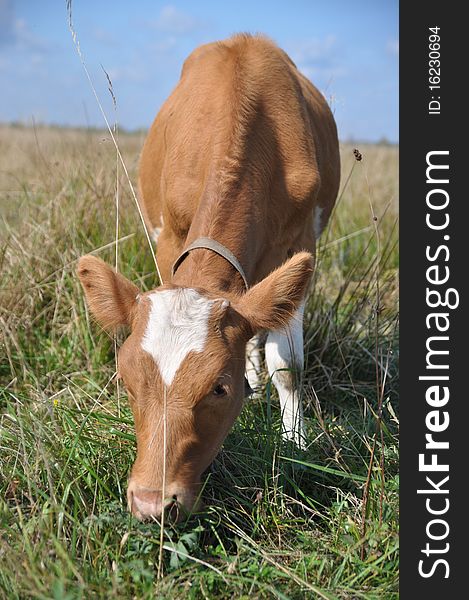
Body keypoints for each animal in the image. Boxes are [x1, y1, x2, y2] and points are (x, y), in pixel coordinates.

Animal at [77, 34, 340, 520]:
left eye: (219, 388)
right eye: (126, 381)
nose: (151, 502)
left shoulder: (301, 245)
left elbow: (287, 363)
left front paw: (295, 440)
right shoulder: (169, 239)